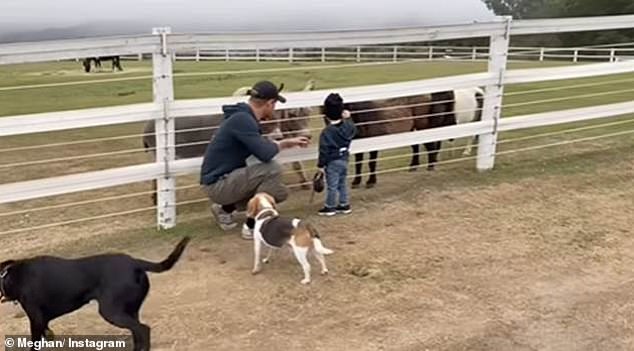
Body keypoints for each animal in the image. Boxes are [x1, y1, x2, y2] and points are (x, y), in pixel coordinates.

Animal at [0, 238, 190, 350]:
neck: (10, 275)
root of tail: (135, 263)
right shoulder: (43, 321)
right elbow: (48, 334)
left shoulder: (36, 319)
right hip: (130, 310)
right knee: (137, 331)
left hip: (110, 311)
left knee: (143, 329)